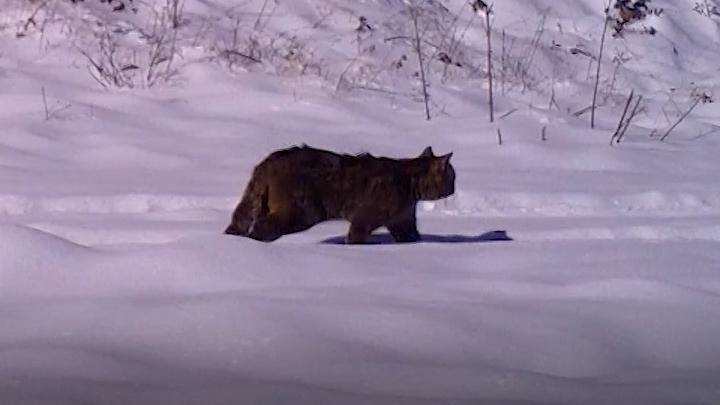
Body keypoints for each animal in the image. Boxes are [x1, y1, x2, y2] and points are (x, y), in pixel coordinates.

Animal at [225, 145, 456, 243]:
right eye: (453, 177)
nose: (454, 188)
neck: (410, 183)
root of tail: (268, 162)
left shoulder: (403, 221)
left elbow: (412, 236)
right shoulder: (366, 217)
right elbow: (356, 236)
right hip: (303, 211)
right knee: (264, 226)